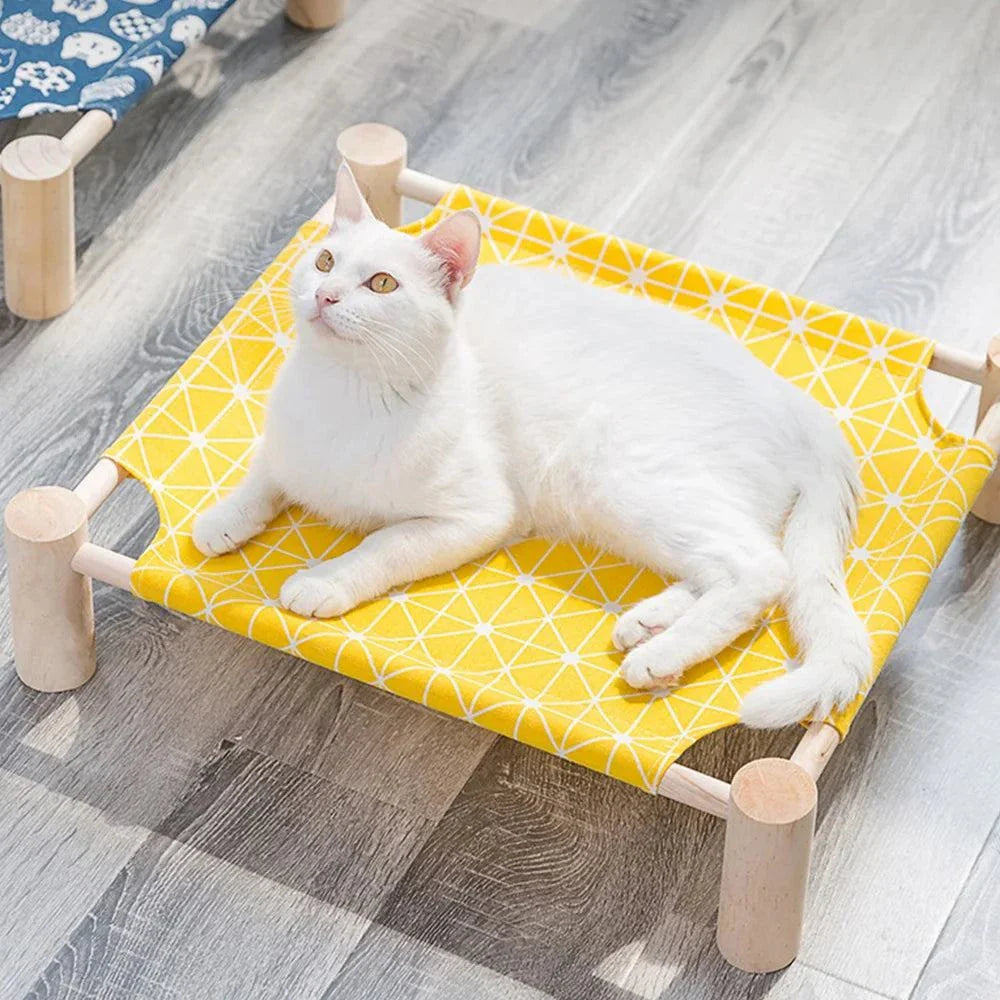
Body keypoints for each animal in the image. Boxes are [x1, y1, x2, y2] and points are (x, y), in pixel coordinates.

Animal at [193, 164, 868, 728]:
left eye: (382, 284)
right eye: (326, 260)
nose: (326, 295)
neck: (342, 393)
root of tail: (803, 407)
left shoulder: (479, 515)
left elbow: (386, 544)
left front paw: (327, 580)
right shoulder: (288, 446)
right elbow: (266, 474)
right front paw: (224, 518)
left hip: (621, 472)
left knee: (761, 566)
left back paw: (663, 654)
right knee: (732, 564)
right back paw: (648, 624)